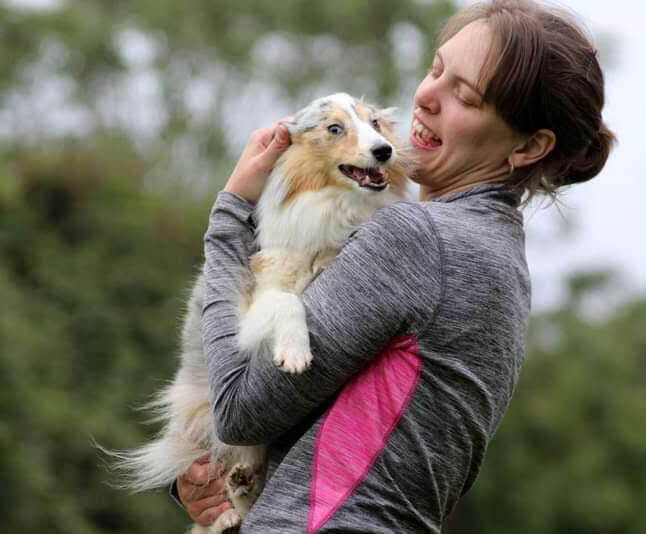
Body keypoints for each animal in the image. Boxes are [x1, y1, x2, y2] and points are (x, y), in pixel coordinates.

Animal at [109, 94, 412, 532]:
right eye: (334, 128)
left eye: (376, 124)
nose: (384, 151)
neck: (334, 202)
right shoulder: (254, 299)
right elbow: (288, 301)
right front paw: (295, 354)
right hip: (207, 414)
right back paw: (231, 500)